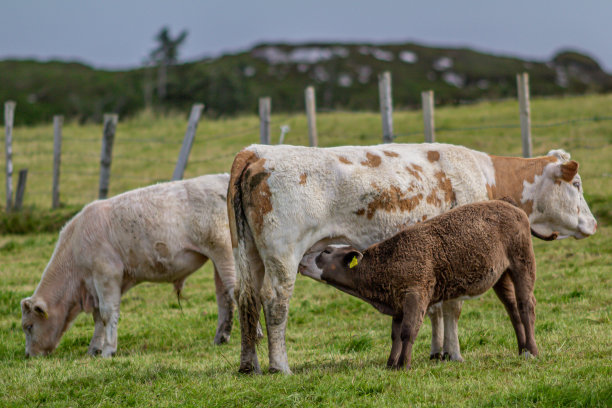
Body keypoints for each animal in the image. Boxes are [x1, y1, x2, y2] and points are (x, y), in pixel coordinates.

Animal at [20, 173, 235, 356]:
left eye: (29, 326)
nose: (28, 356)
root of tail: (224, 177)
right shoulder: (96, 286)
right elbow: (98, 317)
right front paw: (94, 349)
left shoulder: (106, 274)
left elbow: (108, 313)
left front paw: (108, 351)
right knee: (224, 297)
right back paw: (220, 338)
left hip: (226, 254)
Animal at [227, 143, 596, 372]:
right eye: (576, 184)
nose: (593, 223)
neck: (487, 175)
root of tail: (257, 152)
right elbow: (451, 309)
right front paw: (453, 353)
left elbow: (434, 310)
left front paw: (437, 351)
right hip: (283, 256)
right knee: (275, 302)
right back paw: (280, 366)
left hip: (249, 256)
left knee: (246, 300)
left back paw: (249, 365)